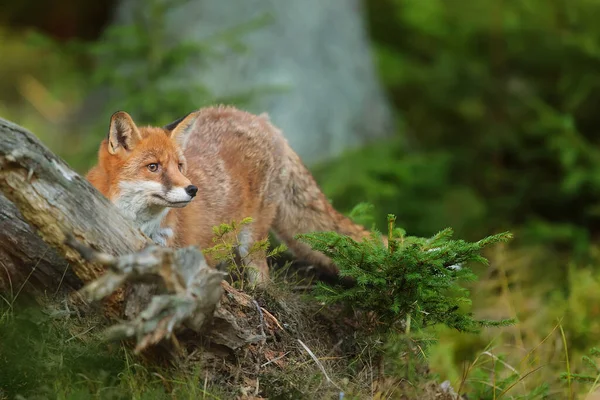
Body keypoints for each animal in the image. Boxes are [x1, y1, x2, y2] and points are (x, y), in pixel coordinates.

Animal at [85, 104, 376, 282]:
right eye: (153, 167)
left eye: (180, 166)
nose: (193, 189)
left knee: (262, 276)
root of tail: (263, 120)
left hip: (251, 240)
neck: (137, 225)